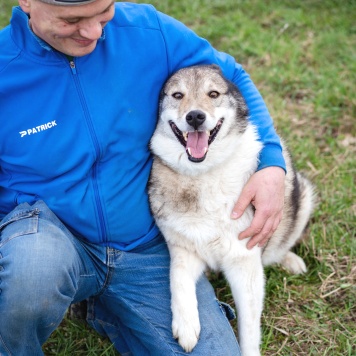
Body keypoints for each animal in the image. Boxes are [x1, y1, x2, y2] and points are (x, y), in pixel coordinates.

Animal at [147, 65, 314, 354]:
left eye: (213, 94)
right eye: (177, 95)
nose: (195, 117)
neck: (204, 172)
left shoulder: (245, 266)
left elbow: (249, 328)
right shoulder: (184, 251)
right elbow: (177, 279)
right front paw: (186, 325)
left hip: (301, 197)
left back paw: (290, 261)